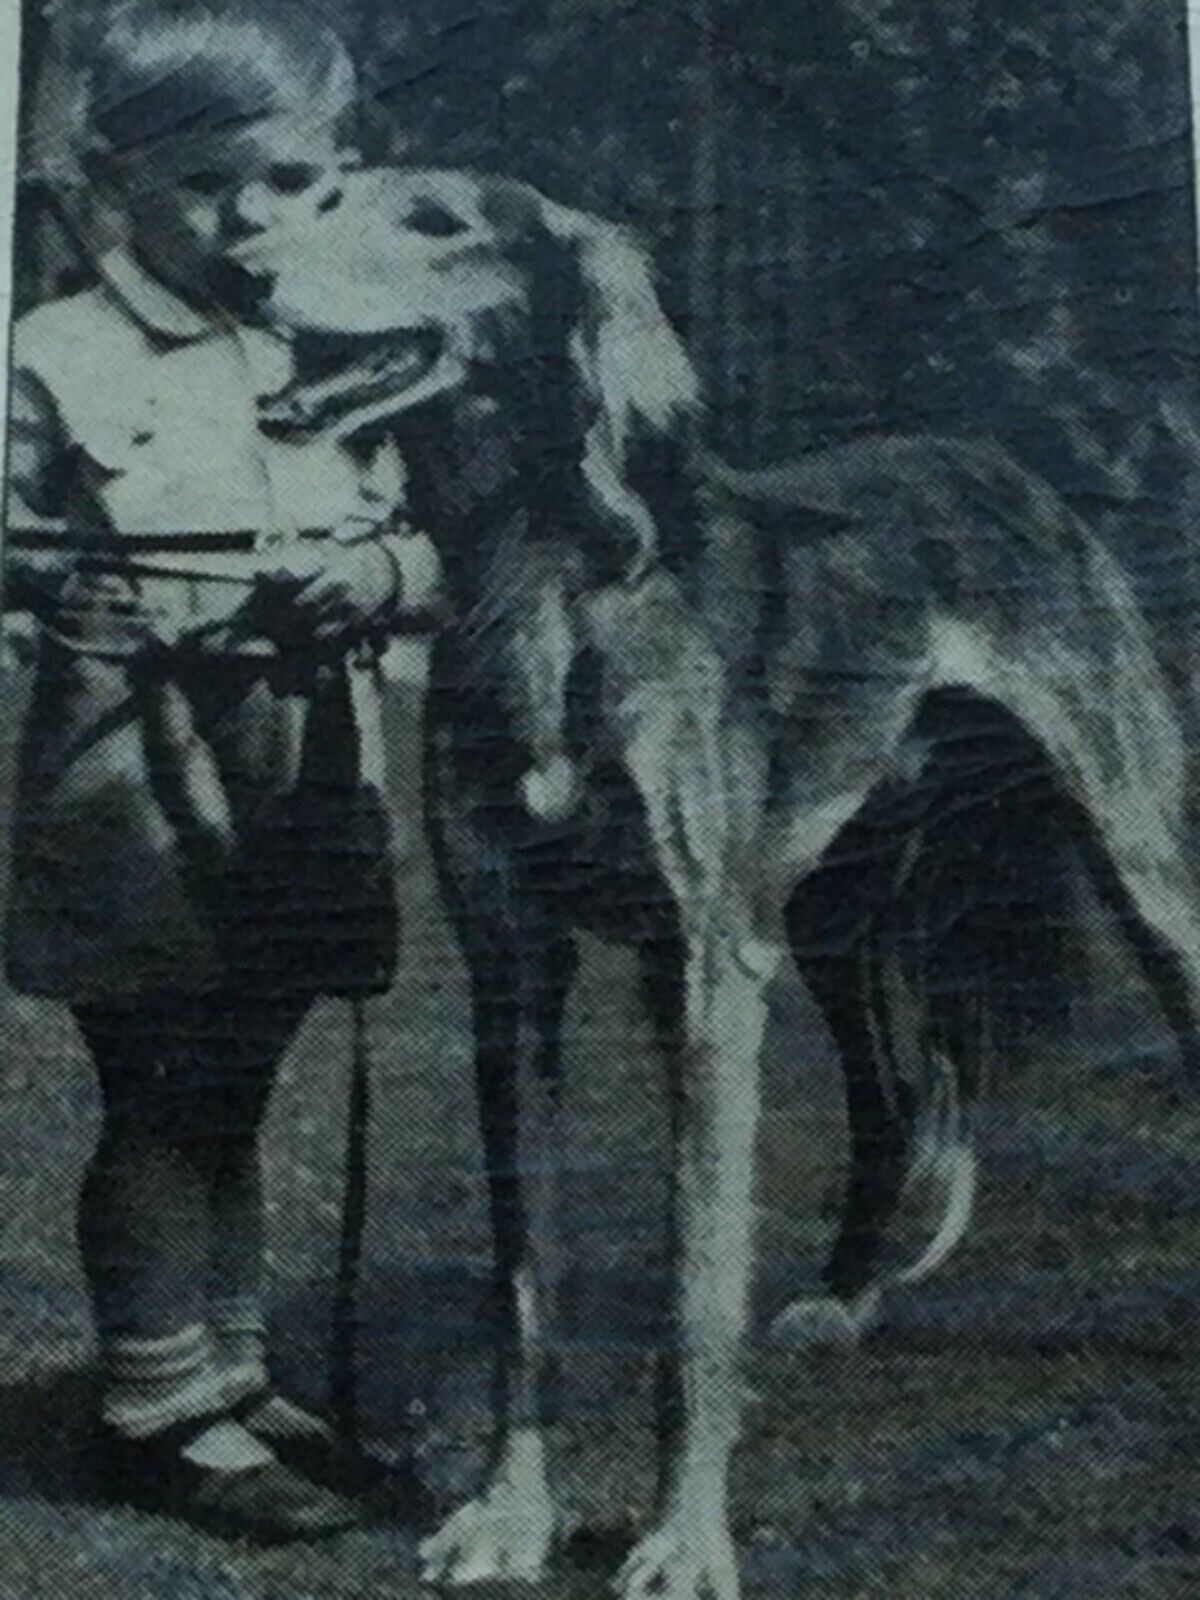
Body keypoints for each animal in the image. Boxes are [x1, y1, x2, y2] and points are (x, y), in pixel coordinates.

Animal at [241, 172, 1200, 1600]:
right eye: (321, 196)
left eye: (436, 221)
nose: (238, 267)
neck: (551, 582)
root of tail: (997, 458)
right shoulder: (511, 968)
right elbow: (524, 1282)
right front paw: (511, 1512)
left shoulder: (702, 967)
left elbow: (695, 1291)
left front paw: (685, 1538)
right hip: (834, 919)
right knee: (890, 1096)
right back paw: (842, 1298)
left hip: (1135, 859)